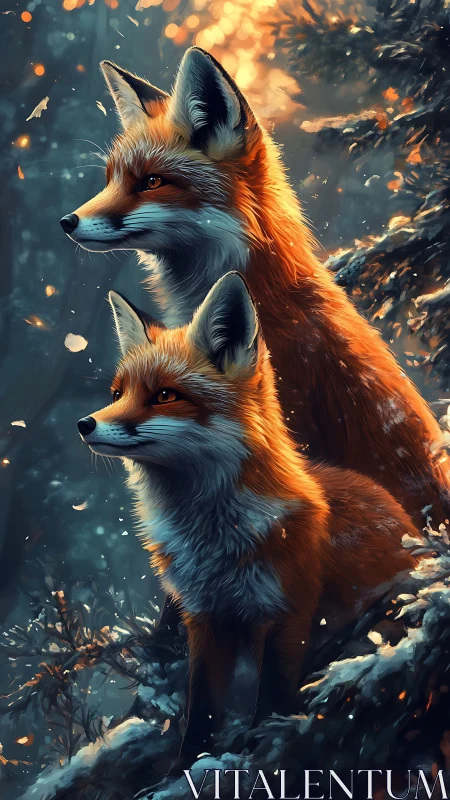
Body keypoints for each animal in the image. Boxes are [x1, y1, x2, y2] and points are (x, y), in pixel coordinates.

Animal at [77, 272, 416, 765]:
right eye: (117, 394)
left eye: (164, 395)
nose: (85, 424)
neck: (215, 541)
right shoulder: (203, 616)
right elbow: (201, 705)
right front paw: (188, 765)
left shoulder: (289, 608)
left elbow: (272, 693)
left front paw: (266, 748)